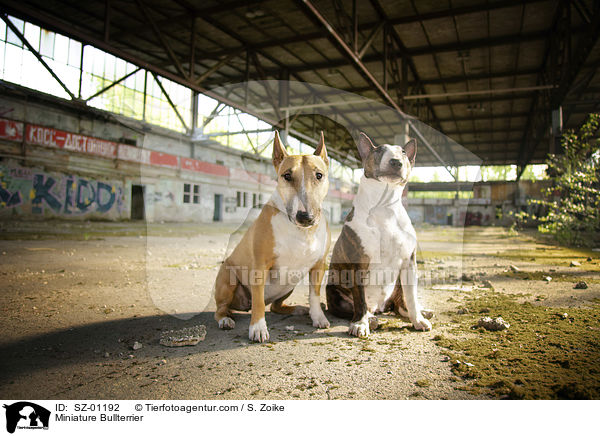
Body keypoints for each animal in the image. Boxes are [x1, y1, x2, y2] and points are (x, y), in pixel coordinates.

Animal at [213, 131, 330, 342]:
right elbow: (258, 301)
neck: (301, 231)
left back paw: (298, 309)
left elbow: (315, 294)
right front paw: (258, 328)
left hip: (289, 285)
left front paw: (318, 317)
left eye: (319, 175)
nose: (305, 217)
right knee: (221, 309)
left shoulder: (319, 265)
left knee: (276, 306)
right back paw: (226, 319)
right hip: (227, 277)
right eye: (287, 176)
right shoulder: (260, 265)